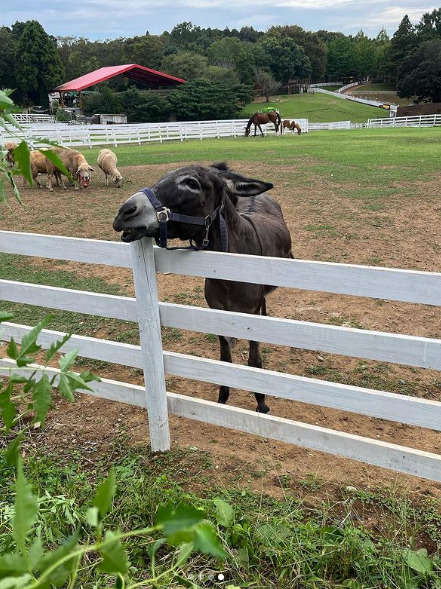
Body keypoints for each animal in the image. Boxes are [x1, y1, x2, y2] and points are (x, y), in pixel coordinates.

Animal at [113, 158, 292, 412]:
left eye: (191, 183)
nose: (124, 212)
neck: (227, 275)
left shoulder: (251, 314)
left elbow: (254, 361)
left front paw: (261, 402)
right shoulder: (215, 312)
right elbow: (224, 359)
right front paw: (223, 397)